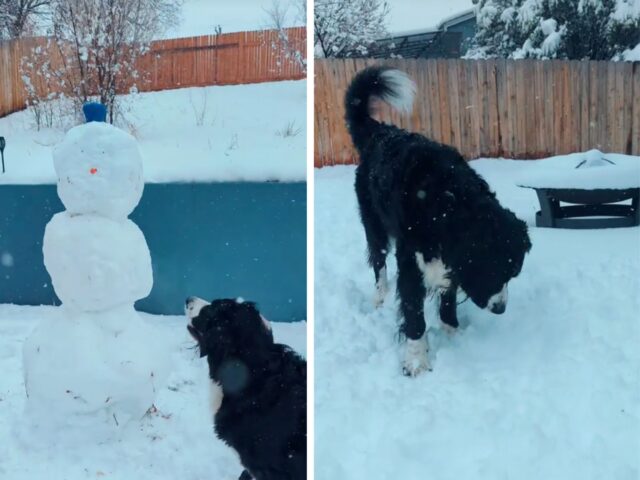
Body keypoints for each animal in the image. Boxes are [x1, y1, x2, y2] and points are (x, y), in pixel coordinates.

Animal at [348, 65, 532, 376]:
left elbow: (448, 298)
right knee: (378, 260)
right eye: (495, 271)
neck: (449, 204)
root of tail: (382, 132)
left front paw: (452, 332)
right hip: (373, 223)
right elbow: (414, 313)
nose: (500, 308)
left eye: (513, 274)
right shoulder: (410, 261)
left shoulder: (452, 262)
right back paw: (380, 295)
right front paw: (416, 361)